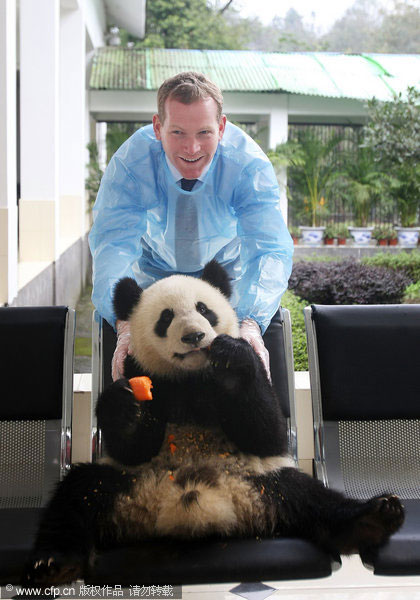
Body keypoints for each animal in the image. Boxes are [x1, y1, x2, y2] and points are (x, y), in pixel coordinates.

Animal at [25, 260, 404, 584]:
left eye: (204, 309)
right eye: (166, 317)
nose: (194, 336)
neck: (191, 376)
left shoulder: (256, 377)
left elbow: (267, 433)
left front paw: (231, 364)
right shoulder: (141, 372)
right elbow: (132, 446)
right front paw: (125, 407)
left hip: (265, 481)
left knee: (312, 497)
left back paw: (374, 517)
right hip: (125, 482)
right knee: (78, 495)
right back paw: (54, 563)